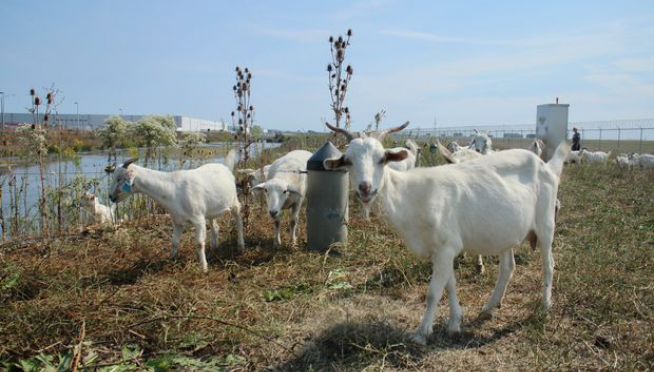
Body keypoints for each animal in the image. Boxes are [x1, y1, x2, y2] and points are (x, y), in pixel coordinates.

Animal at [110, 150, 246, 272]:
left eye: (119, 178)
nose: (110, 197)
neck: (172, 189)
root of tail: (225, 167)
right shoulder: (177, 220)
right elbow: (174, 242)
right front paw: (171, 259)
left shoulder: (198, 219)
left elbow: (199, 243)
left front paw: (203, 268)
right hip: (211, 210)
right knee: (215, 226)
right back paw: (214, 246)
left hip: (234, 201)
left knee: (239, 221)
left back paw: (241, 246)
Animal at [326, 123, 568, 344]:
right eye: (348, 161)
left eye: (381, 158)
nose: (365, 188)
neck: (410, 196)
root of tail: (547, 166)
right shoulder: (441, 250)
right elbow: (449, 285)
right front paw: (454, 323)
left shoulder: (445, 247)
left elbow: (434, 291)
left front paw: (421, 333)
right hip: (506, 232)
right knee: (508, 267)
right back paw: (489, 308)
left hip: (546, 224)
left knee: (549, 264)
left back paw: (544, 307)